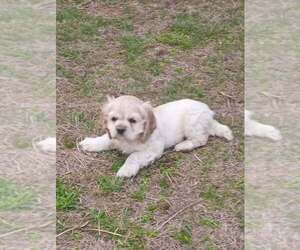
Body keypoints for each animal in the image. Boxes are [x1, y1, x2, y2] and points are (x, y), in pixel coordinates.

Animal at [79, 94, 232, 177]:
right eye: (113, 119)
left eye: (132, 120)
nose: (120, 129)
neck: (130, 140)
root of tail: (208, 112)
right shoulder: (114, 137)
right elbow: (105, 139)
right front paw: (89, 143)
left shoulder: (154, 149)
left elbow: (133, 156)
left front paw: (126, 169)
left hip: (192, 123)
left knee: (202, 139)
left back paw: (183, 146)